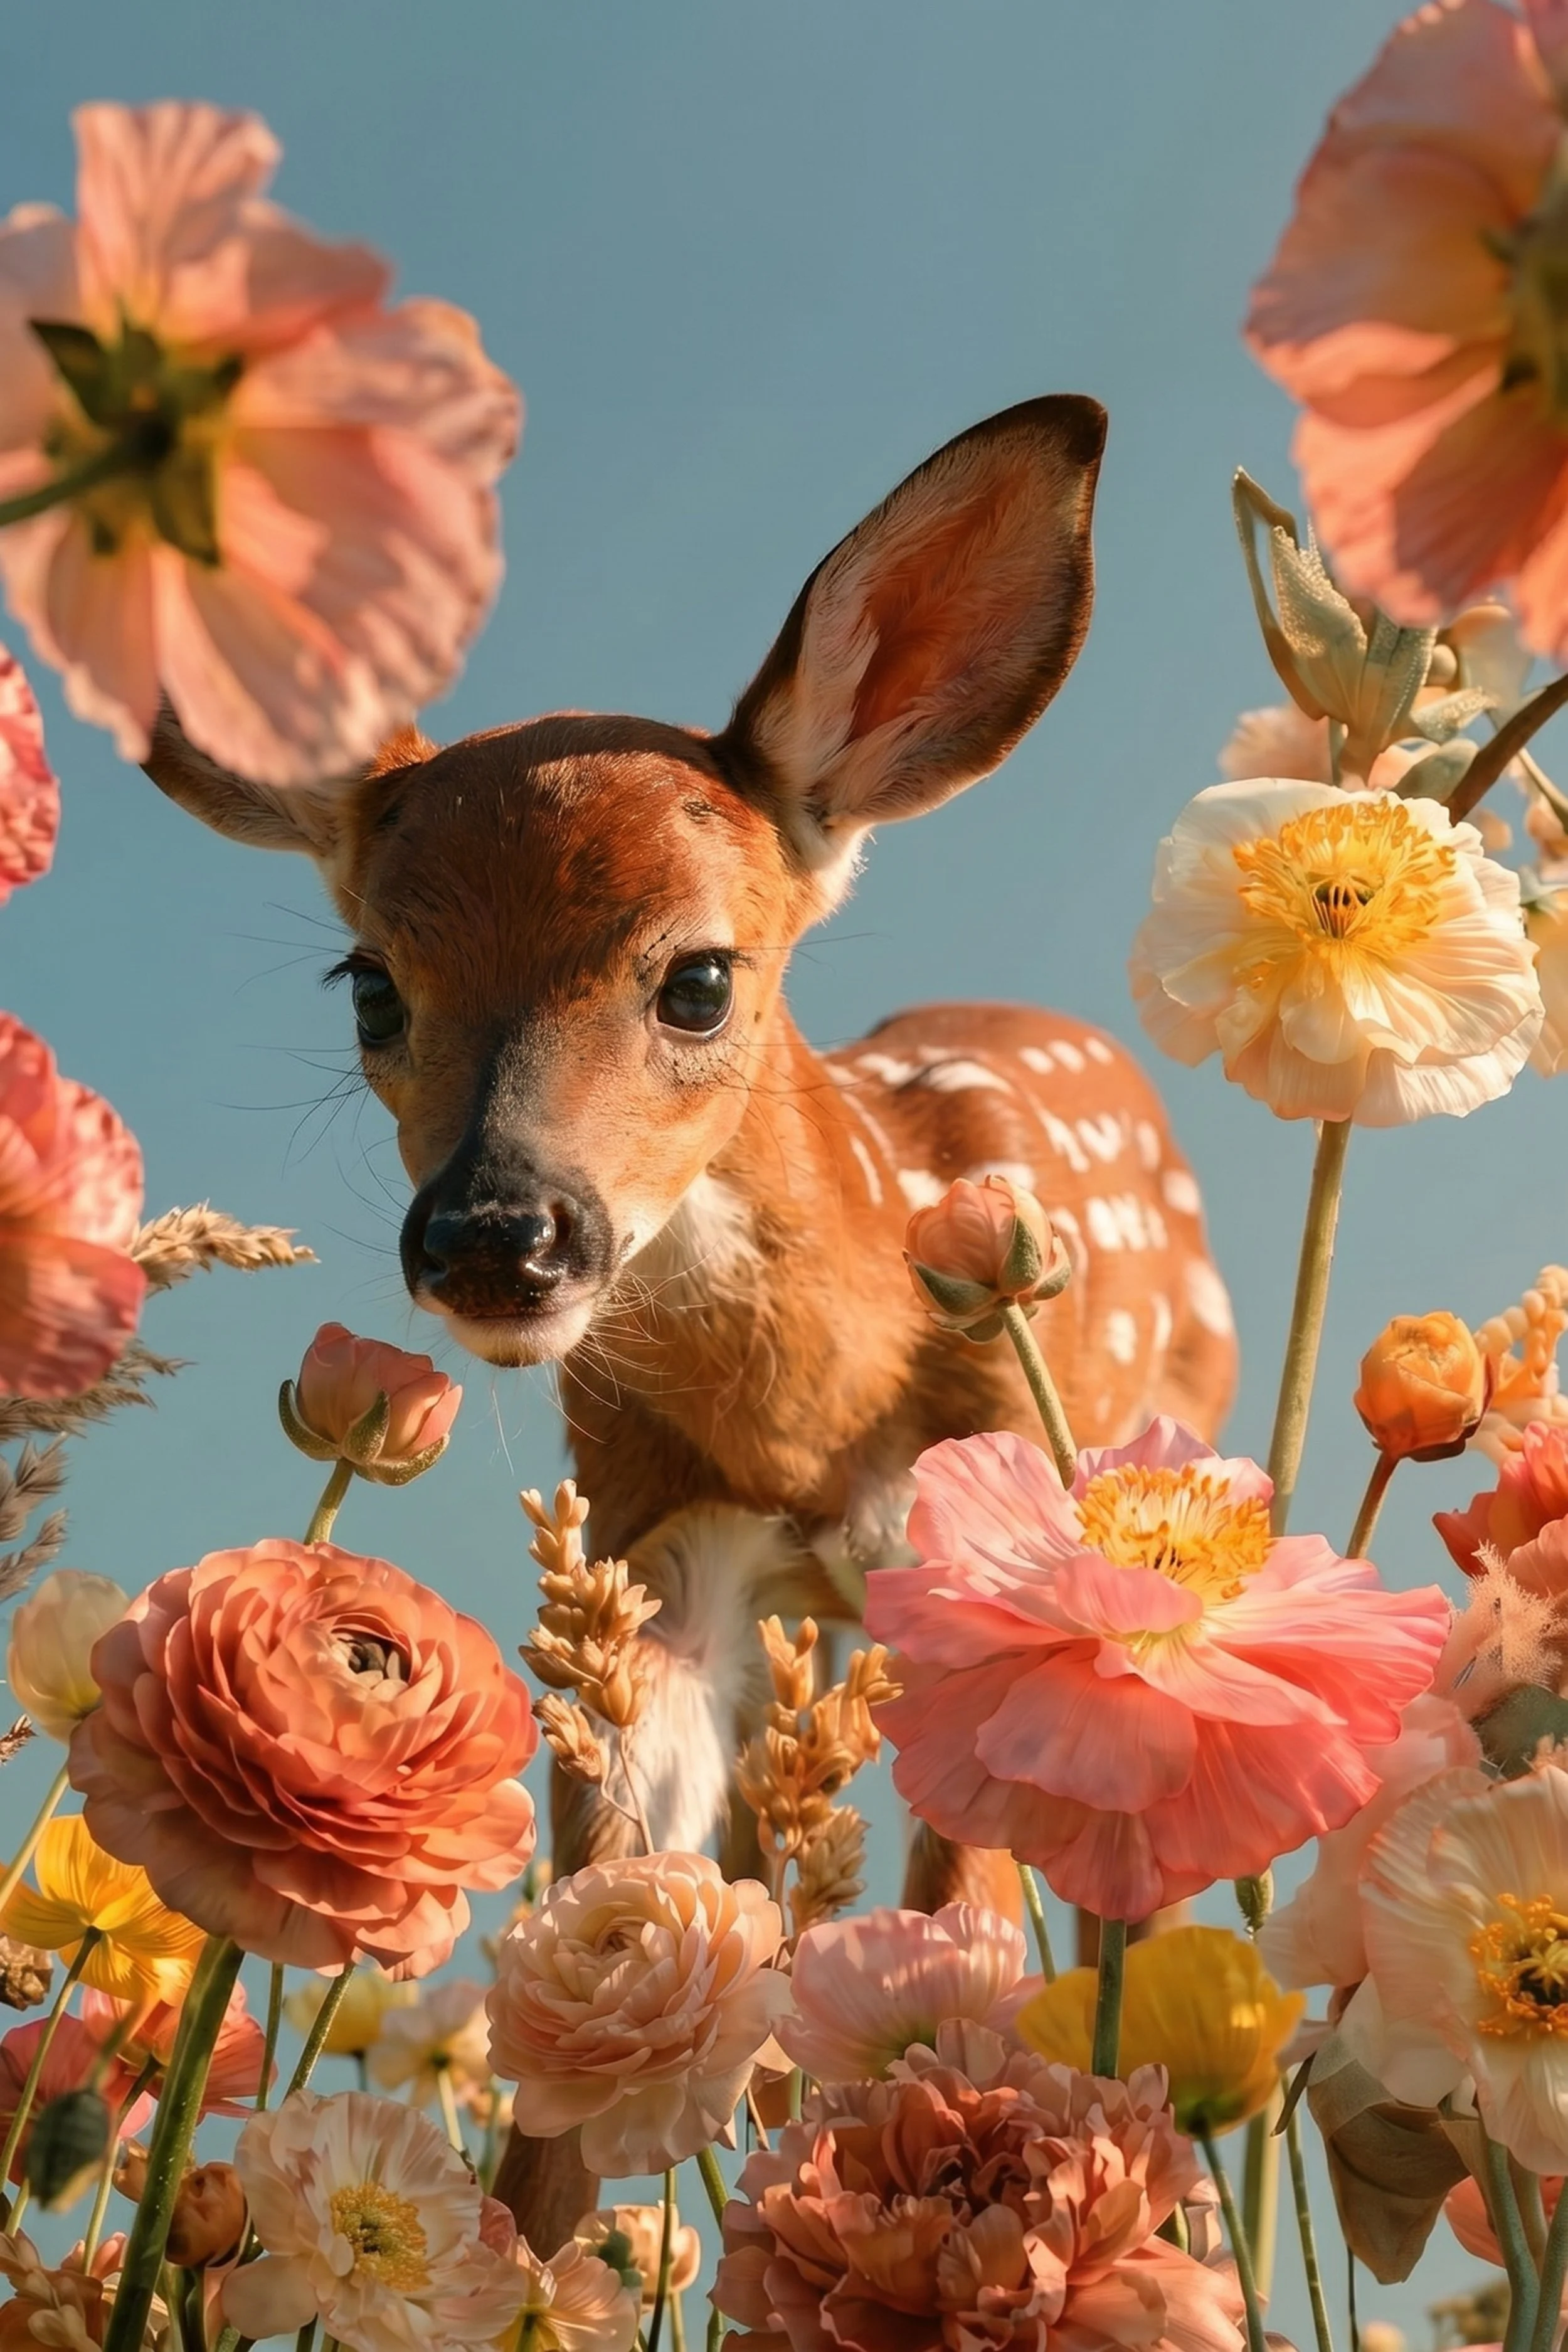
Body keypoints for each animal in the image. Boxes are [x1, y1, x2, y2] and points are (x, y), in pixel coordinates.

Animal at [140, 394, 1237, 2242]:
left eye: (700, 975)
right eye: (371, 986)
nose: (497, 1235)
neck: (814, 1410)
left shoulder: (991, 1550)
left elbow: (970, 1920)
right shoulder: (648, 1552)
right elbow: (613, 1941)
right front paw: (531, 2265)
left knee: (1112, 1893)